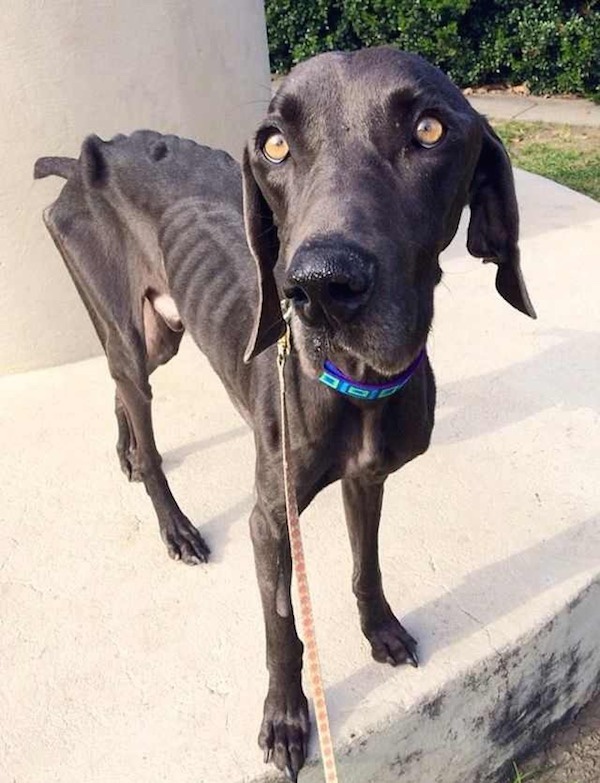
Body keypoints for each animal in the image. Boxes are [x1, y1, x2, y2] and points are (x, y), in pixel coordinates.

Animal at [36, 46, 536, 780]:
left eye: (431, 130)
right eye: (274, 143)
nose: (320, 287)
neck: (357, 383)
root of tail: (86, 158)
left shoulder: (368, 477)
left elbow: (367, 564)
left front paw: (381, 629)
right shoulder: (271, 518)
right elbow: (282, 628)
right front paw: (285, 719)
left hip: (157, 332)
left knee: (121, 388)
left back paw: (126, 452)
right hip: (130, 329)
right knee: (139, 411)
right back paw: (174, 524)